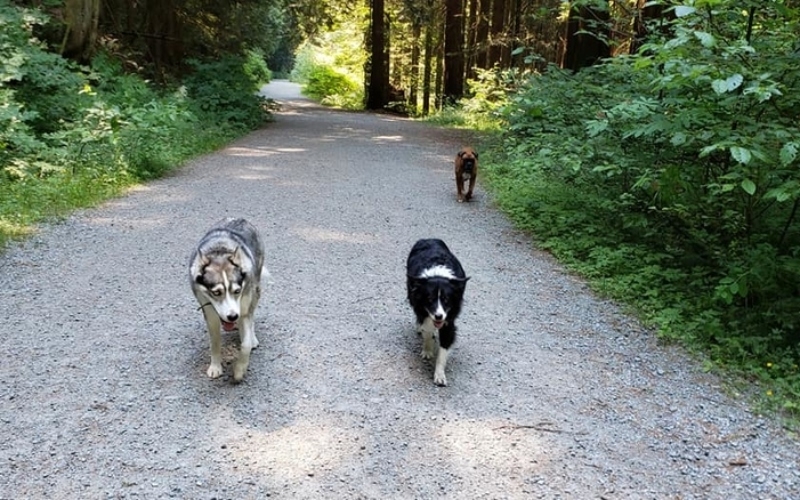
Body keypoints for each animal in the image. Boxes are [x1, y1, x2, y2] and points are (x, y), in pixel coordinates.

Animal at [190, 217, 266, 380]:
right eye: (216, 293)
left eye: (237, 291)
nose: (232, 316)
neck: (220, 252)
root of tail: (239, 218)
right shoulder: (210, 313)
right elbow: (215, 343)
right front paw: (215, 366)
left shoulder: (244, 306)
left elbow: (246, 344)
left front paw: (239, 370)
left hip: (255, 290)